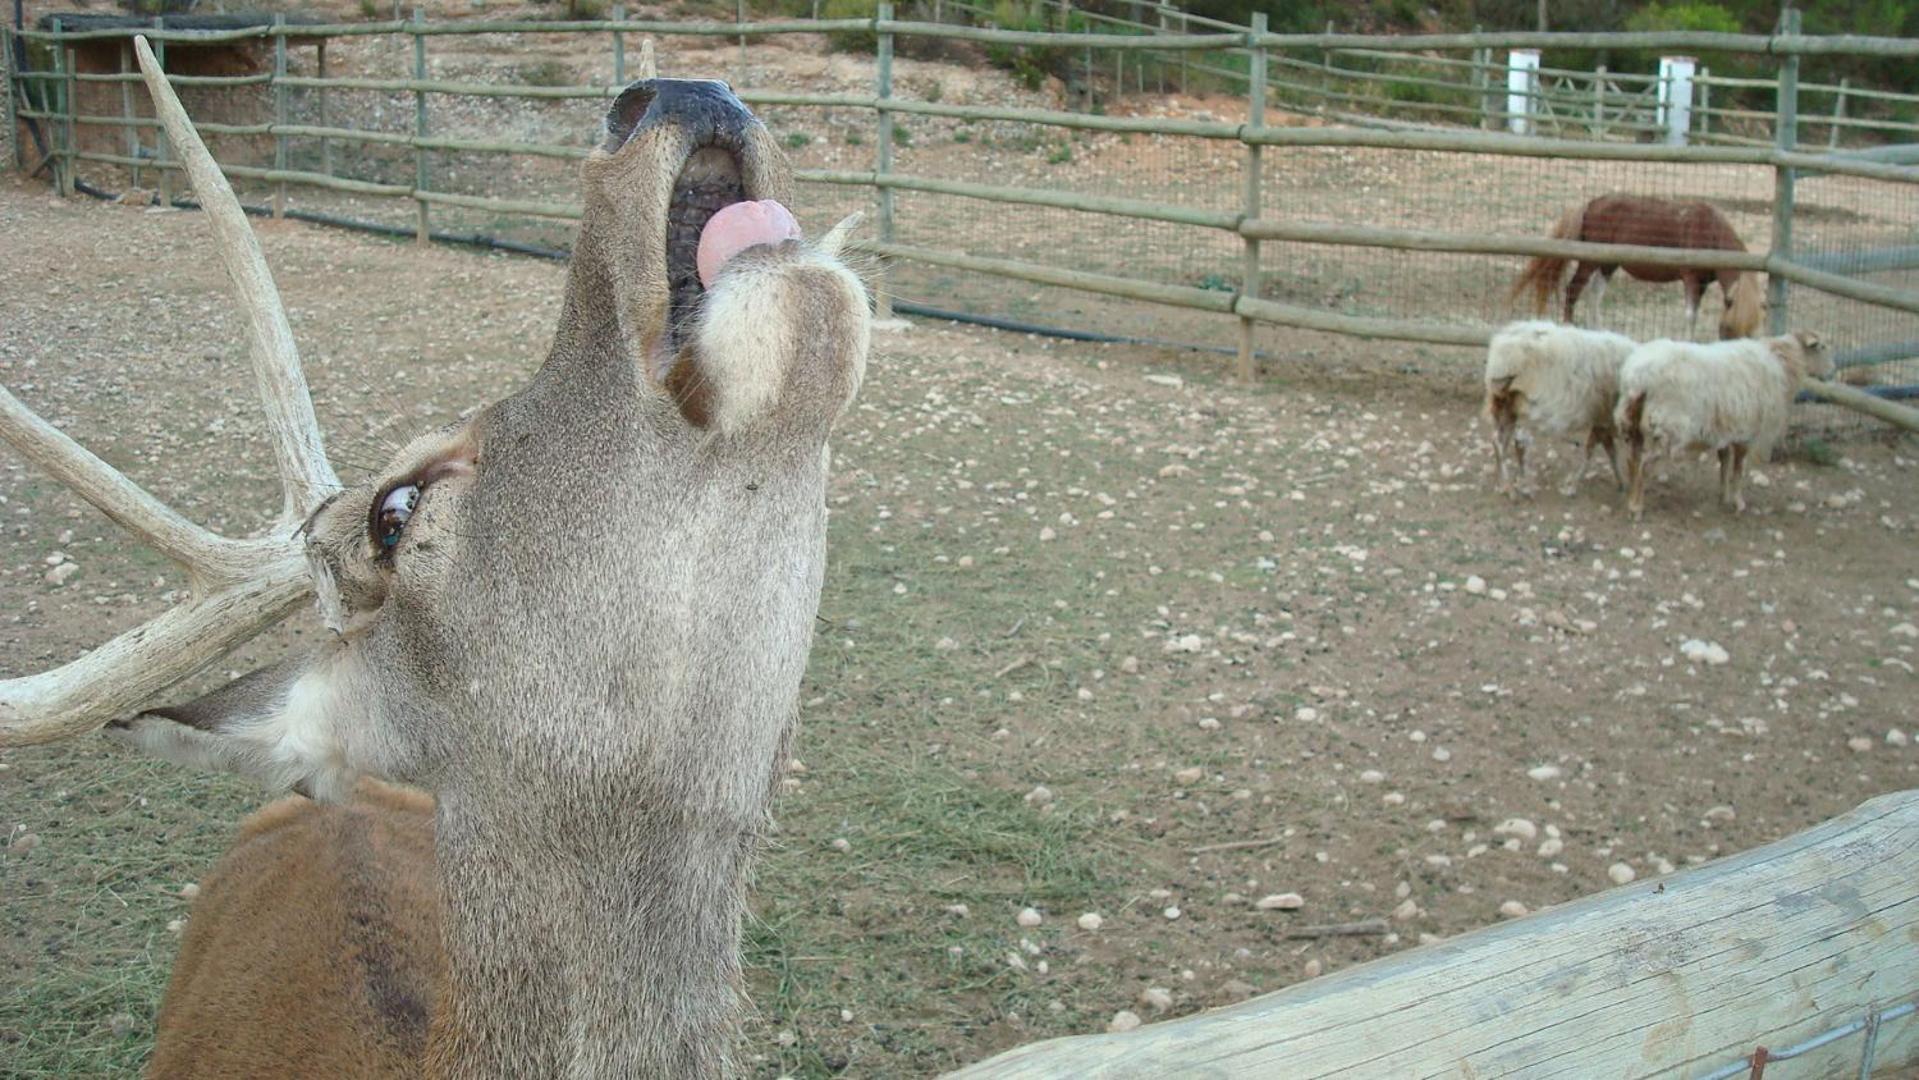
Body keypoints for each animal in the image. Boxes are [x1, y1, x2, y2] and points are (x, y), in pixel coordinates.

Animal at [1481, 316, 1634, 498]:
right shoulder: (1602, 419)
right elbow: (1593, 451)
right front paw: (1573, 486)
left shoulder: (1602, 420)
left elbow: (1610, 451)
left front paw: (1621, 483)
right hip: (1526, 406)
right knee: (1517, 445)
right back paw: (1519, 488)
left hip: (1506, 406)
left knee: (1499, 442)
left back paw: (1503, 484)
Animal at [1512, 194, 1765, 337]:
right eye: (1728, 329)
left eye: (1751, 332)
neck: (1710, 231)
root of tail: (1591, 204)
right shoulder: (1691, 279)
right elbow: (1690, 316)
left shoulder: (1701, 284)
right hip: (1590, 261)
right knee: (1573, 290)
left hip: (1608, 264)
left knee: (1594, 295)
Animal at [1619, 329, 1826, 517]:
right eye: (1822, 347)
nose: (1829, 372)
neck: (1782, 364)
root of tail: (1638, 376)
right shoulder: (1746, 433)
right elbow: (1738, 470)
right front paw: (1738, 502)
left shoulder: (1725, 431)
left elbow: (1724, 463)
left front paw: (1723, 497)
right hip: (1665, 428)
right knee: (1645, 465)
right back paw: (1636, 508)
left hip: (1634, 424)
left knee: (1632, 459)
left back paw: (1630, 497)